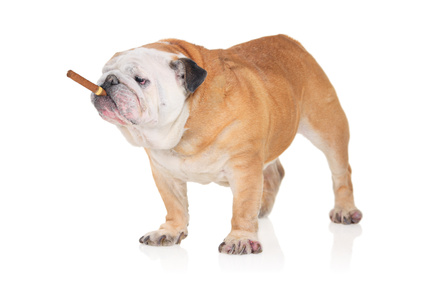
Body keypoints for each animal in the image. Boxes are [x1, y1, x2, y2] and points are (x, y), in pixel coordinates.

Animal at [92, 34, 362, 256]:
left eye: (141, 80)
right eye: (103, 72)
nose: (109, 80)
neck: (187, 123)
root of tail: (292, 42)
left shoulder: (244, 167)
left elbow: (242, 207)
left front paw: (240, 239)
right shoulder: (164, 172)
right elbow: (175, 205)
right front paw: (169, 231)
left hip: (327, 127)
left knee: (341, 171)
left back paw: (345, 210)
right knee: (274, 173)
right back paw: (262, 206)